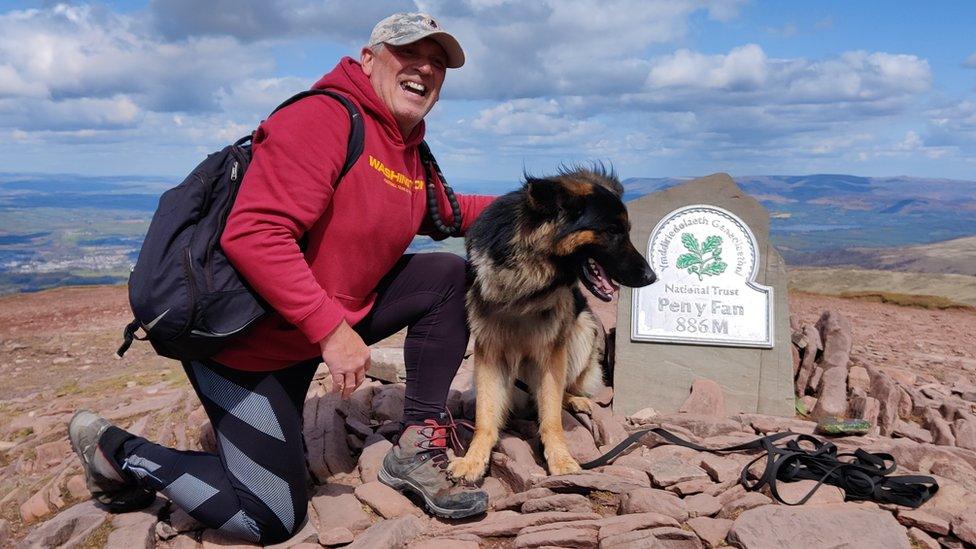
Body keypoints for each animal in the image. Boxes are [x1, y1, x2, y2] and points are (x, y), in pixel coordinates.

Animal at [450, 166, 656, 480]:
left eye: (626, 231)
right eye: (612, 231)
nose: (652, 277)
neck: (526, 281)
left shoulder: (551, 353)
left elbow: (550, 415)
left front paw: (560, 458)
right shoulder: (489, 352)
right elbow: (485, 415)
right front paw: (473, 459)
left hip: (583, 330)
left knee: (563, 391)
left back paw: (573, 400)